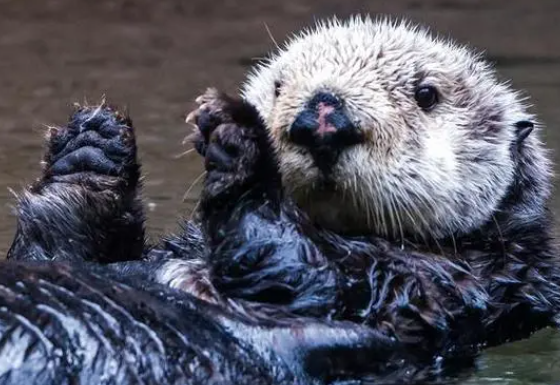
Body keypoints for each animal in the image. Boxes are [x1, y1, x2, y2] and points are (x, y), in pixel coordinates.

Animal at [3, 16, 560, 382]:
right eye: (278, 86)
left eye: (427, 95)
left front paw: (238, 137)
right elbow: (57, 248)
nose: (324, 118)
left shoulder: (439, 289)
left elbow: (288, 262)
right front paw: (92, 150)